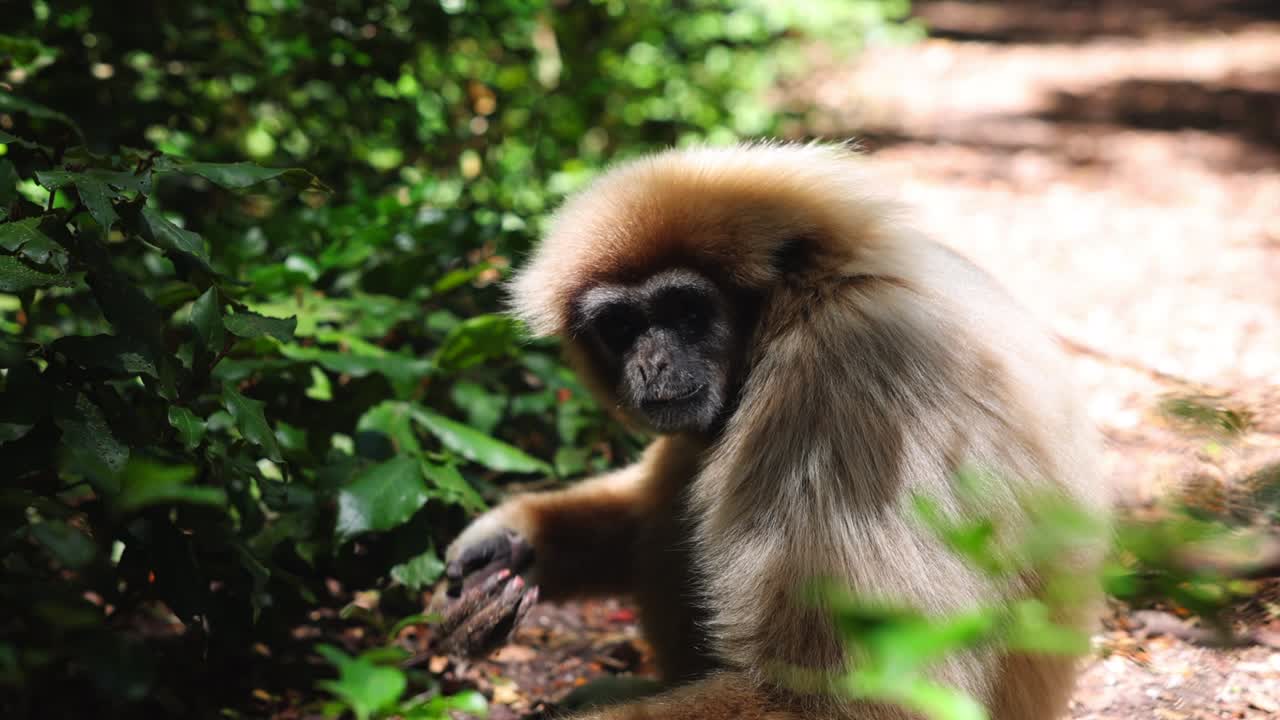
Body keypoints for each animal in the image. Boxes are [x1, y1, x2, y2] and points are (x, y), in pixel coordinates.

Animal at [435, 142, 1111, 720]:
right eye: (621, 326)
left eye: (686, 311)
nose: (652, 363)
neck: (808, 301)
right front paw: (509, 545)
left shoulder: (848, 376)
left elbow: (853, 699)